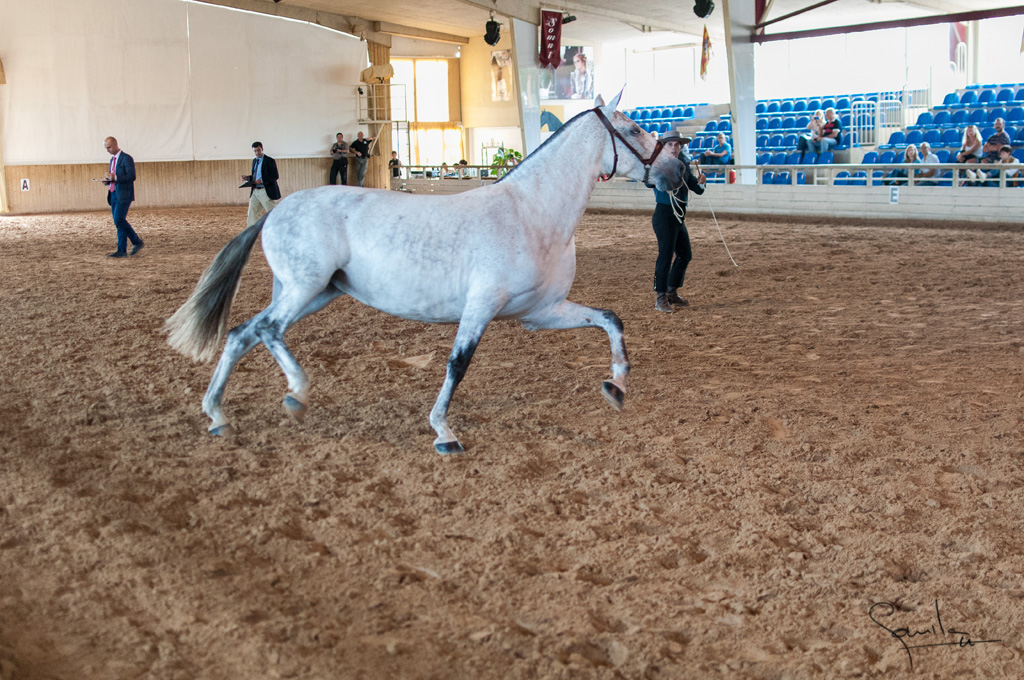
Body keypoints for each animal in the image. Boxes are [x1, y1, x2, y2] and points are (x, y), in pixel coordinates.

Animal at [163, 91, 684, 450]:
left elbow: (610, 319)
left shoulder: (541, 313)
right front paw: (443, 431)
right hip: (303, 289)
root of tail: (275, 211)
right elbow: (458, 364)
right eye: (633, 131)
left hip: (314, 292)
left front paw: (616, 386)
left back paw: (218, 416)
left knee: (242, 334)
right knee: (267, 331)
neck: (530, 212)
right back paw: (295, 394)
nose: (679, 174)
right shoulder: (481, 306)